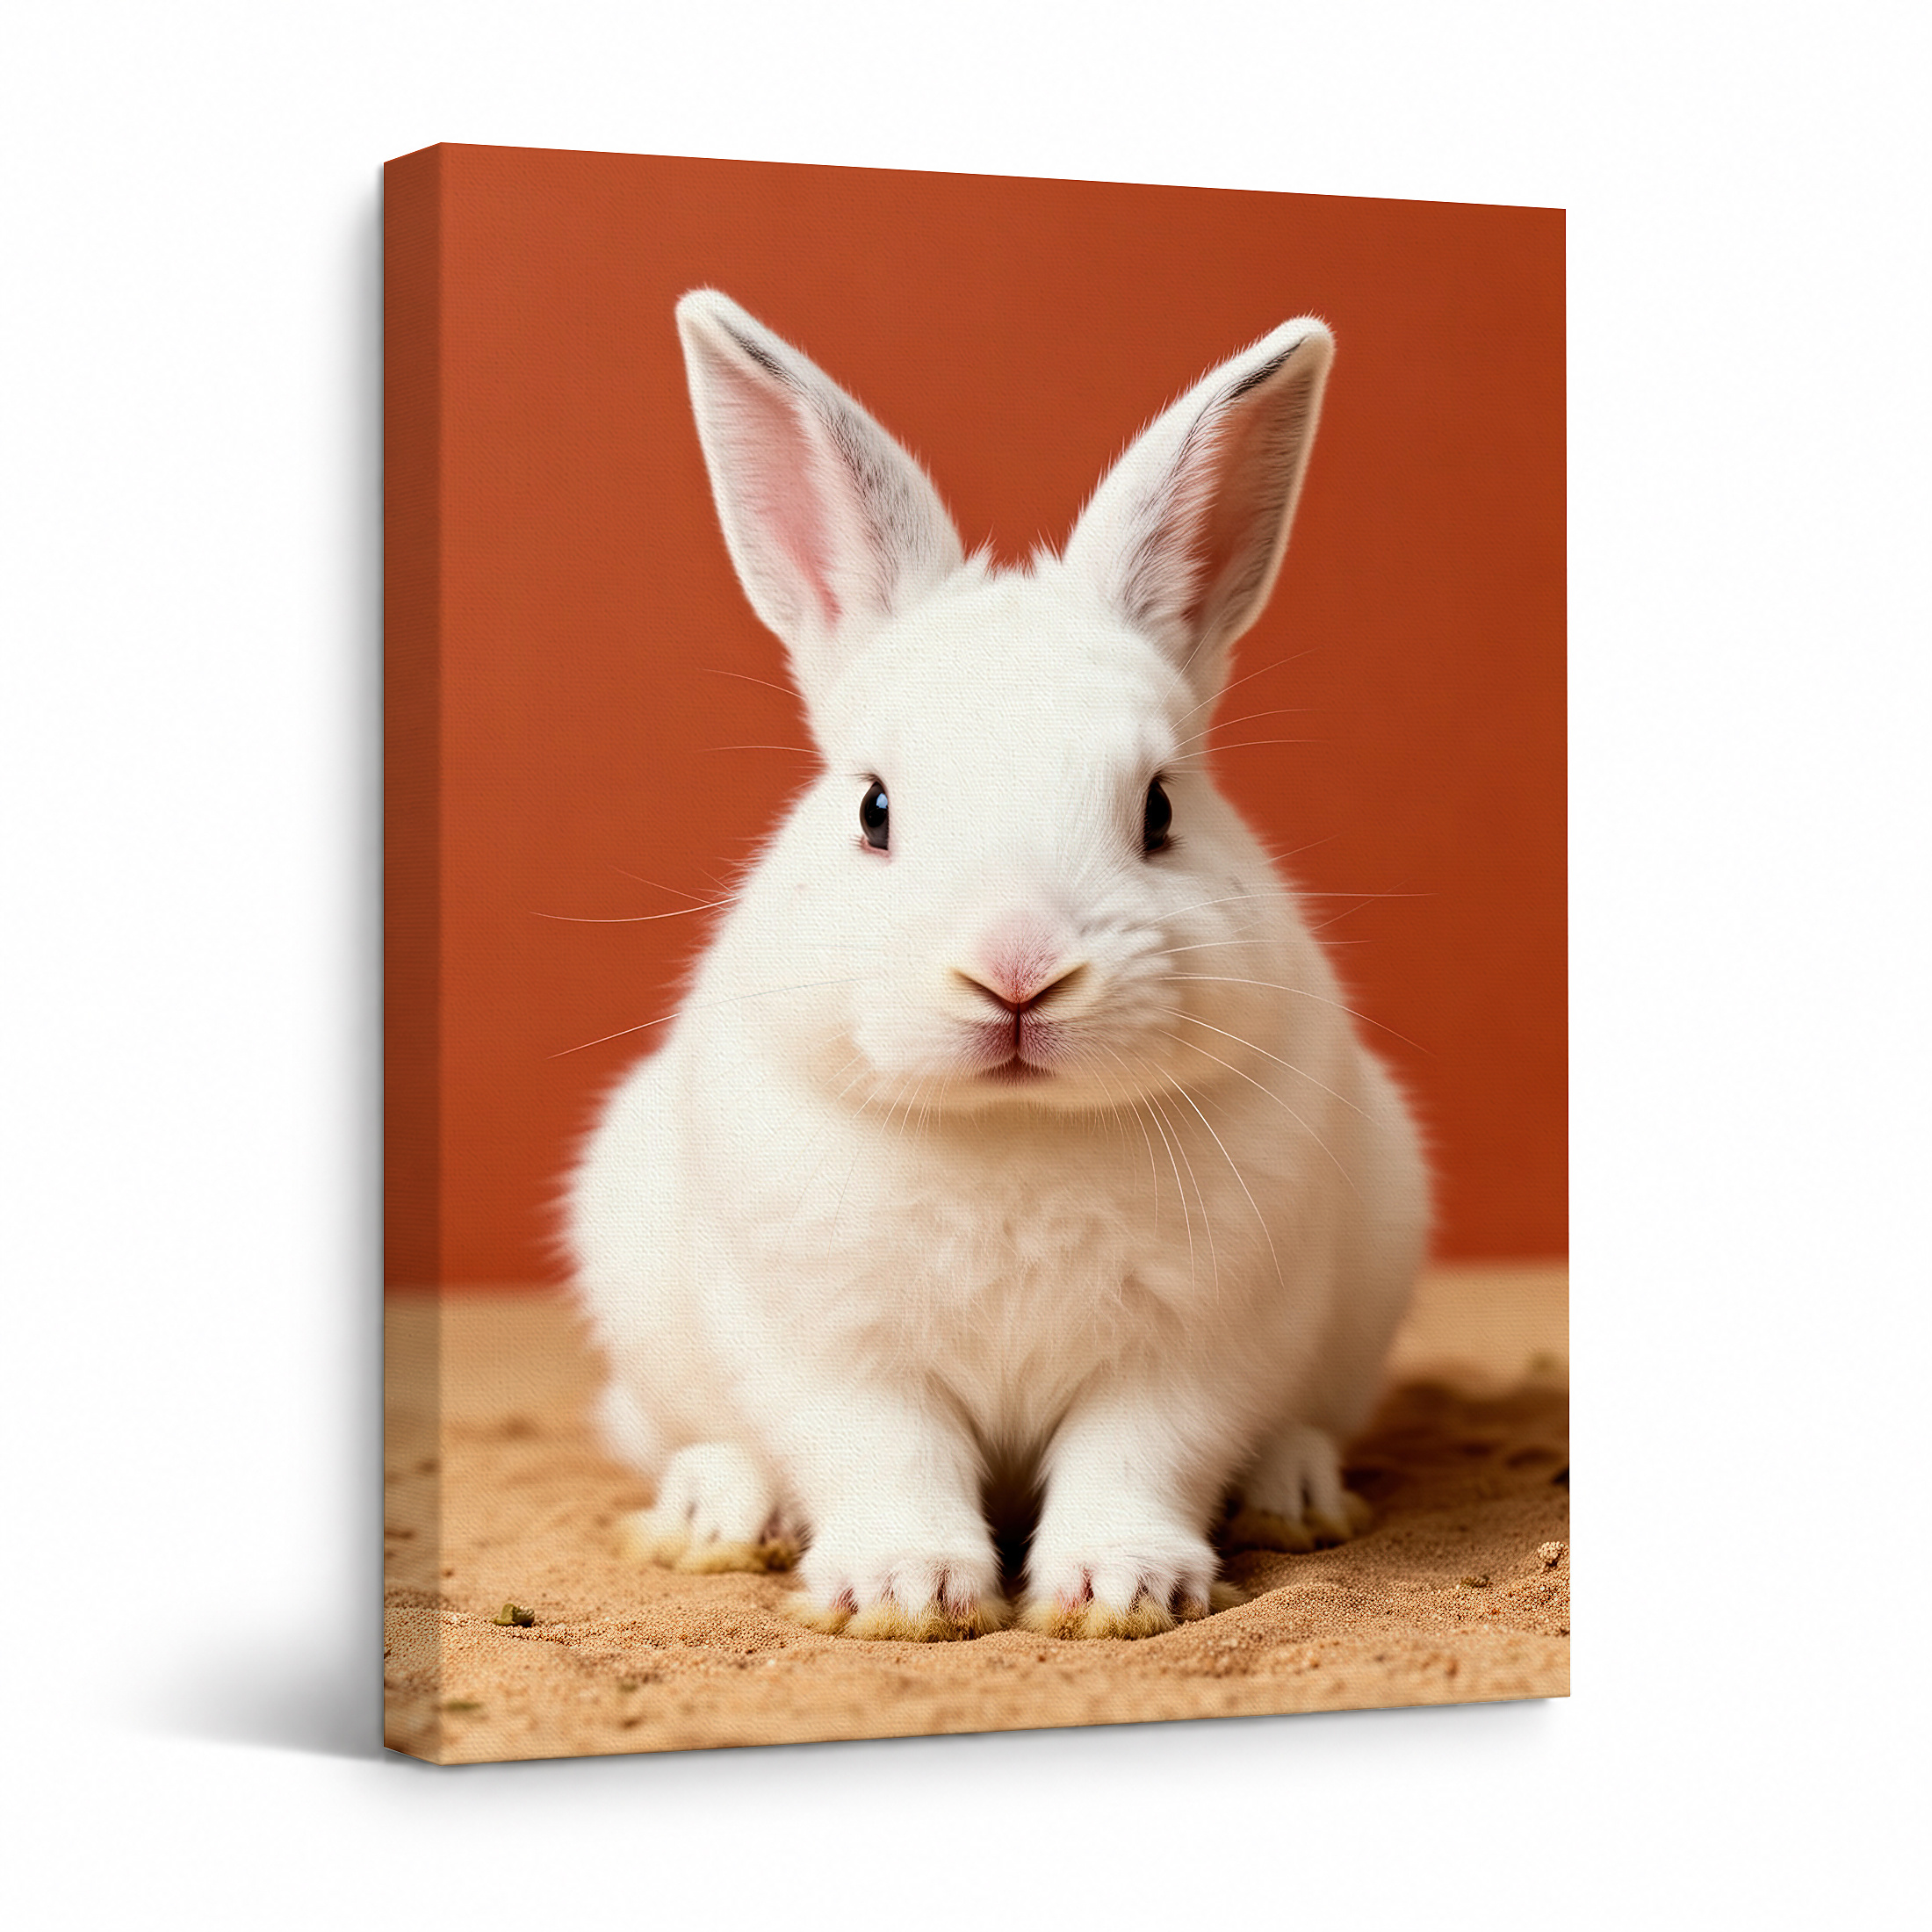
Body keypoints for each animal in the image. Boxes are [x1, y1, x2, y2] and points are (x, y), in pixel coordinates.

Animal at [567, 289, 1429, 1642]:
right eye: (872, 808)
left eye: (1160, 811)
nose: (1016, 973)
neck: (1014, 1131)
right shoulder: (829, 1347)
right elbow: (884, 1455)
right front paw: (903, 1591)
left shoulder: (1198, 1345)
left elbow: (1139, 1457)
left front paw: (1119, 1588)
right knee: (691, 1438)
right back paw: (718, 1513)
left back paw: (1296, 1493)